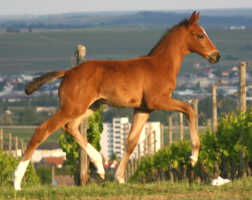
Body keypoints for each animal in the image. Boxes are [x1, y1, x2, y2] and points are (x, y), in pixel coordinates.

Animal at [13, 11, 219, 190]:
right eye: (200, 35)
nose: (216, 56)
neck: (160, 65)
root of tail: (68, 72)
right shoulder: (158, 100)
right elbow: (189, 109)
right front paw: (193, 157)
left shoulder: (143, 109)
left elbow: (131, 142)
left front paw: (119, 177)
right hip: (73, 107)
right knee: (43, 130)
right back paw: (16, 181)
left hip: (90, 107)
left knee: (70, 126)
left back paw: (100, 167)